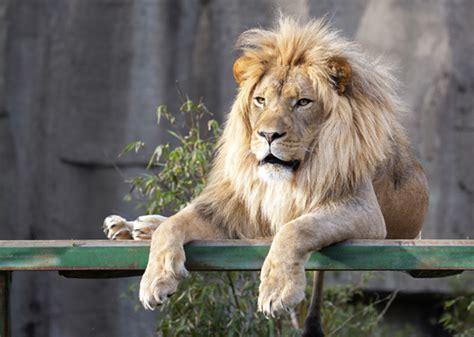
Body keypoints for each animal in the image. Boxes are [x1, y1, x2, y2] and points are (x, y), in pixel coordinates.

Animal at [103, 17, 430, 334]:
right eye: (260, 100)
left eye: (303, 102)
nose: (268, 135)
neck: (291, 177)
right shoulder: (235, 208)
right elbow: (174, 225)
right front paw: (155, 280)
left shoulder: (364, 212)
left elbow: (296, 229)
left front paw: (277, 289)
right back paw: (131, 226)